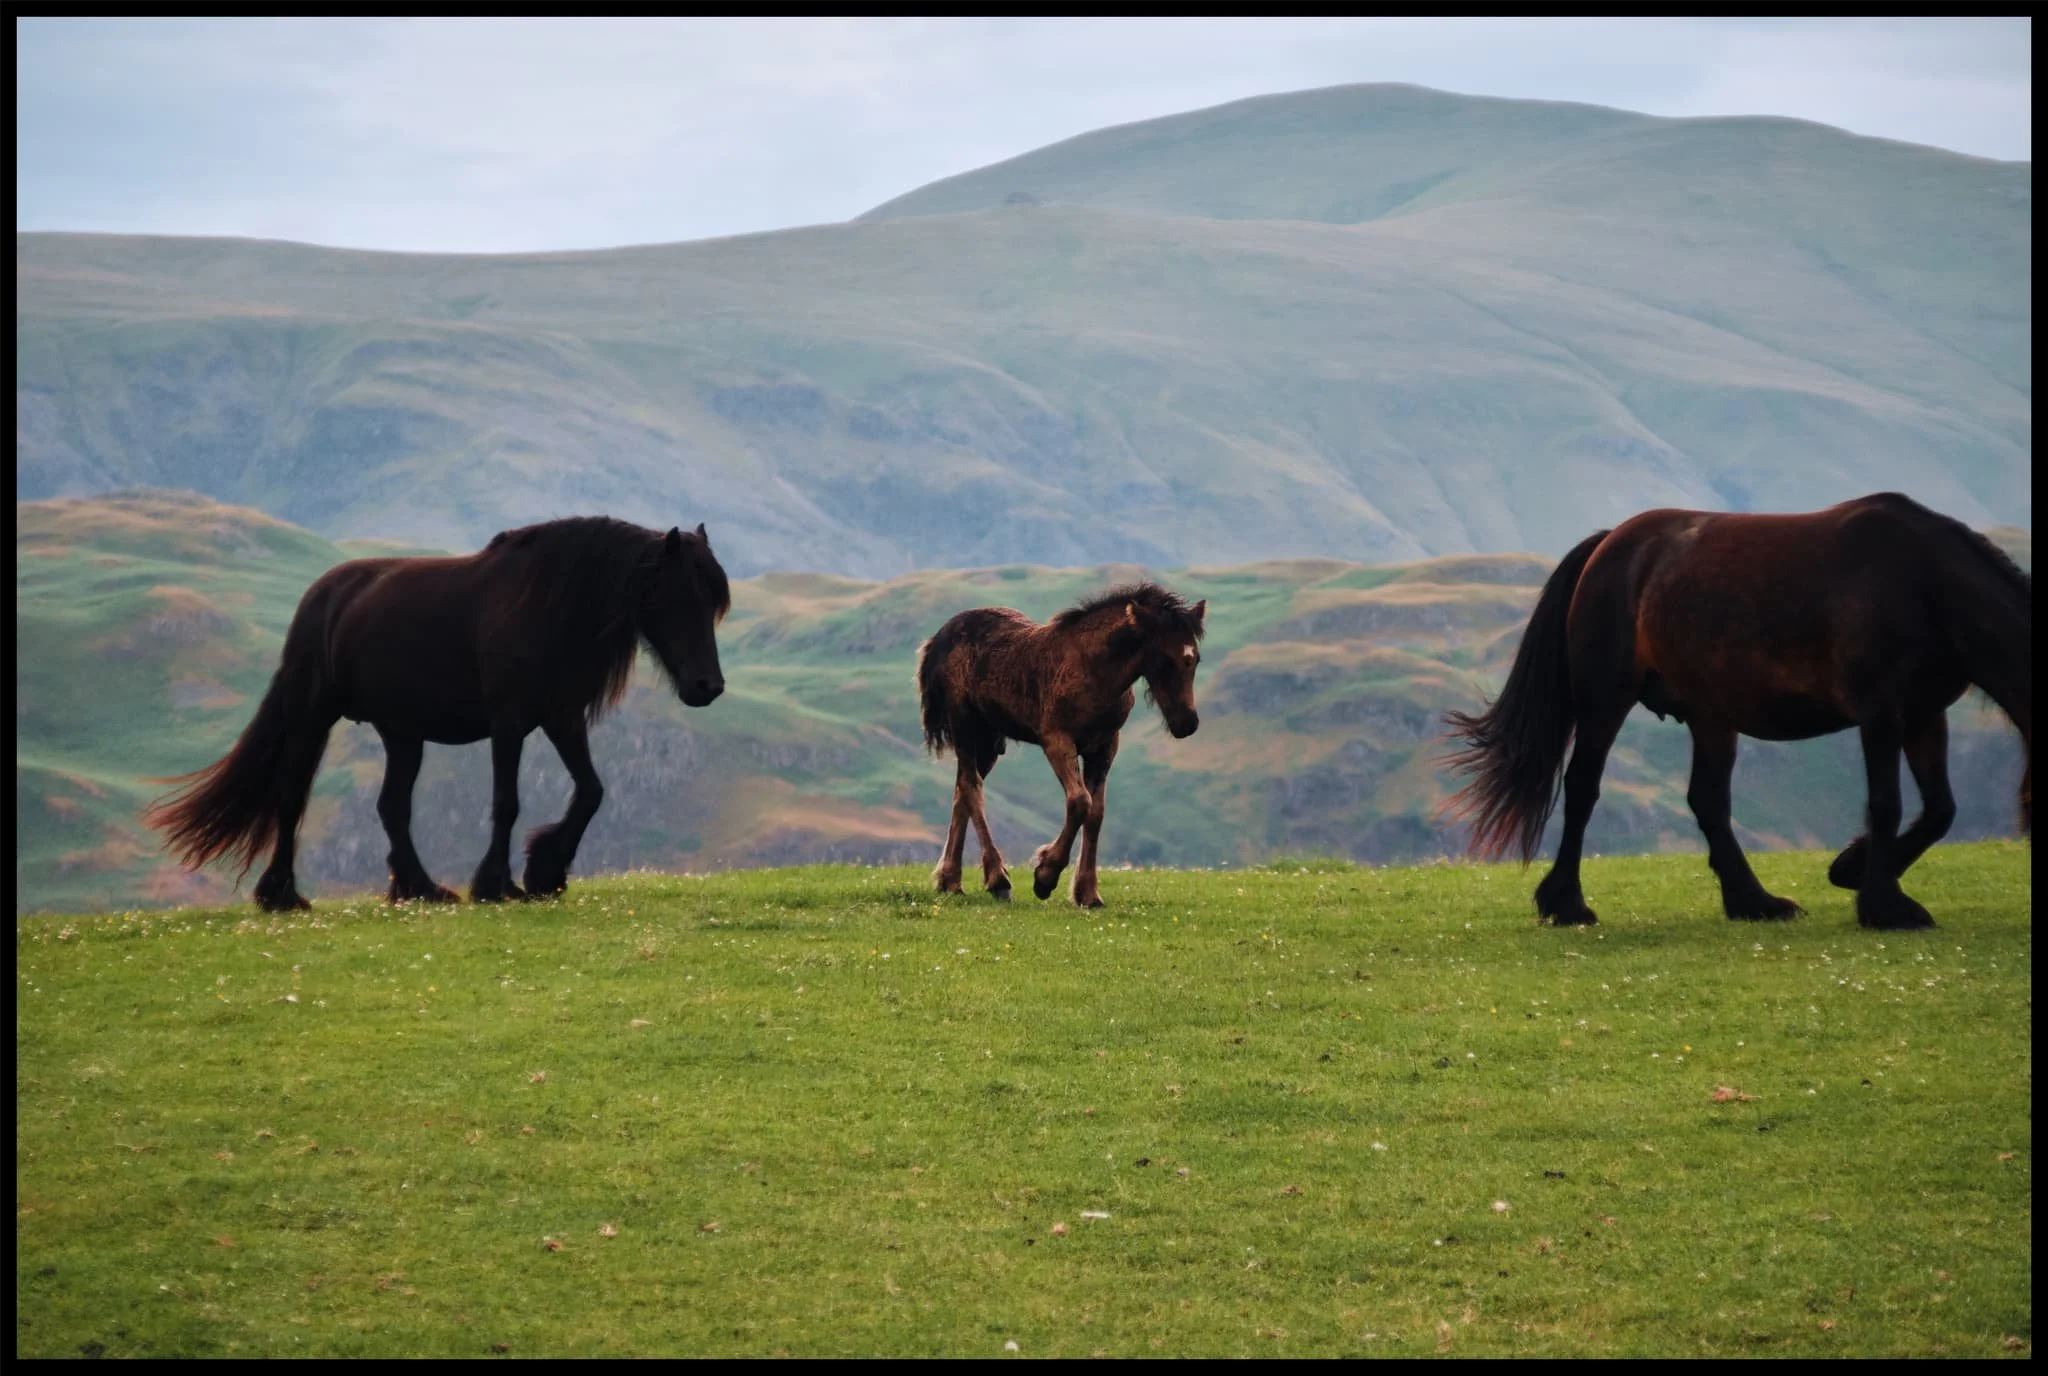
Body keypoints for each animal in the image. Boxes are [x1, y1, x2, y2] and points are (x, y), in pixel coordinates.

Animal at [144, 516, 731, 912]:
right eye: (678, 595)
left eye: (713, 600)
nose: (708, 687)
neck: (548, 609)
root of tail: (321, 596)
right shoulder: (509, 724)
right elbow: (505, 803)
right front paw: (497, 884)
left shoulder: (562, 719)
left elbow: (590, 792)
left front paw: (545, 872)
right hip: (313, 716)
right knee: (292, 798)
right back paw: (283, 896)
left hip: (402, 734)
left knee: (391, 807)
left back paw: (419, 888)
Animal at [915, 583, 1208, 908]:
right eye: (1164, 659)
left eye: (1195, 659)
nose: (1187, 723)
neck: (1094, 671)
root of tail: (938, 639)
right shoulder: (1056, 740)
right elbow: (1079, 802)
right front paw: (1045, 875)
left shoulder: (1105, 746)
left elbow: (1096, 813)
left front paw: (1088, 893)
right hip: (964, 724)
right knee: (971, 788)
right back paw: (997, 879)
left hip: (988, 739)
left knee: (961, 791)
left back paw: (950, 881)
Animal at [1441, 492, 2030, 930]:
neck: (1925, 585)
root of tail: (1608, 544)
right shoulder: (1881, 713)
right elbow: (1888, 804)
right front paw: (1883, 905)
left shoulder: (1925, 713)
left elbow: (1940, 809)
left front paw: (1853, 869)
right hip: (1606, 701)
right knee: (1585, 788)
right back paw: (1567, 904)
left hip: (1710, 715)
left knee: (1707, 801)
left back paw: (1754, 901)